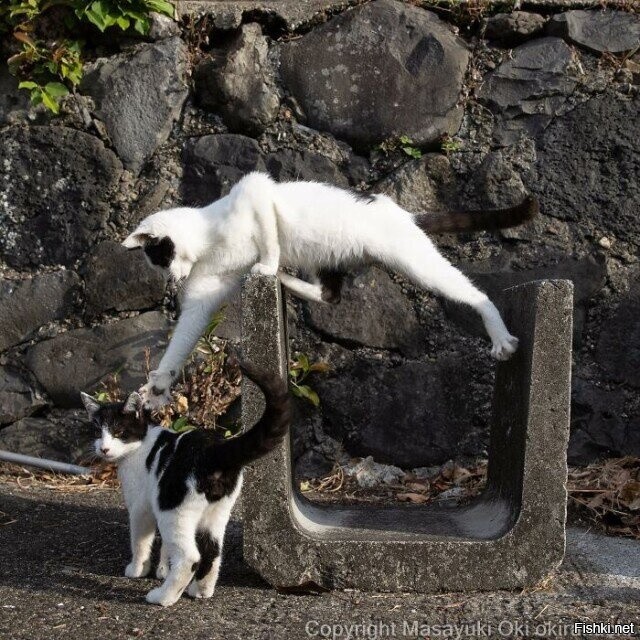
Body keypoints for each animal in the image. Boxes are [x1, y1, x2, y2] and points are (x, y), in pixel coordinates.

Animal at [80, 359, 290, 607]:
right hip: (216, 513)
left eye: (118, 431)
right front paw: (162, 569)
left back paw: (163, 597)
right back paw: (200, 590)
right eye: (97, 432)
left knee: (190, 557)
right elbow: (164, 546)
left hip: (173, 510)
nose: (103, 448)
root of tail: (214, 450)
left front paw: (138, 569)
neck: (140, 444)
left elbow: (140, 541)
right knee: (212, 551)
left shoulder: (142, 507)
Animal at [122, 172, 537, 409]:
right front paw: (158, 384)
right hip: (329, 261)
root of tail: (404, 214)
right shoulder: (204, 294)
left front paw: (266, 264)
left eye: (159, 258)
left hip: (413, 260)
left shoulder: (254, 191)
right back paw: (287, 281)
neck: (209, 239)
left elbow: (269, 237)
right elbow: (184, 336)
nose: (172, 280)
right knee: (331, 295)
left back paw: (501, 337)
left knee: (474, 292)